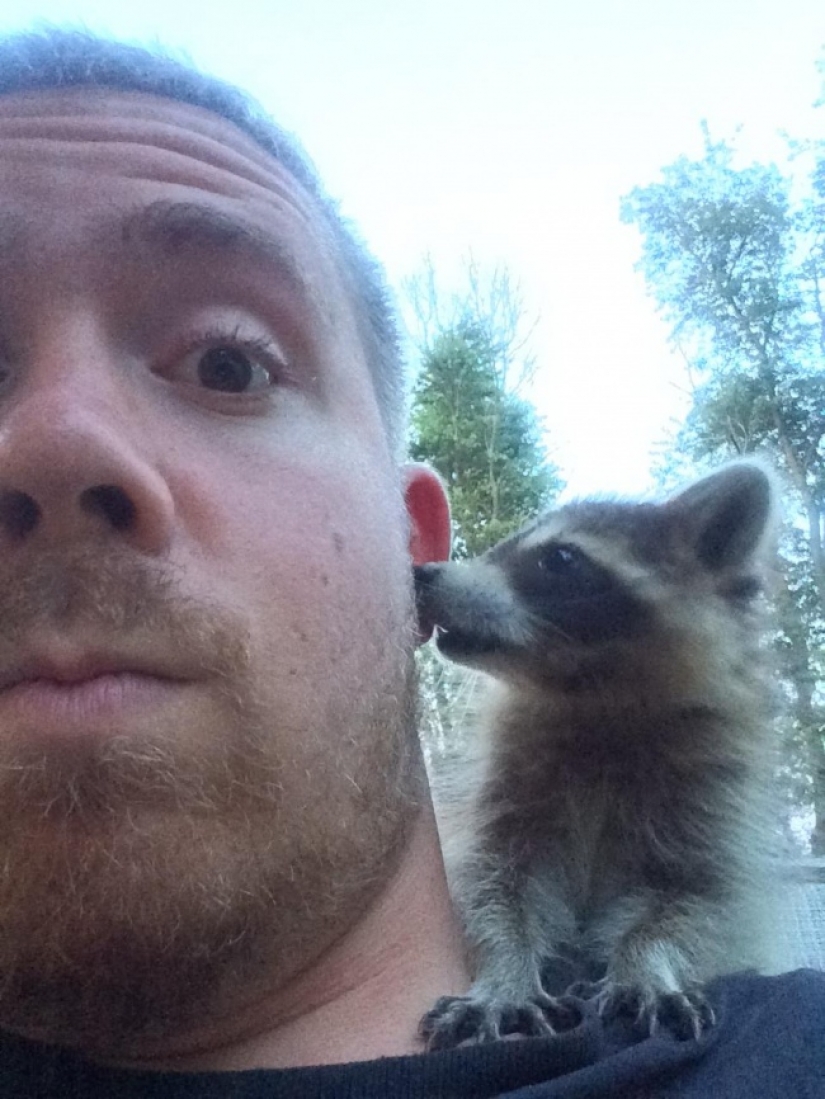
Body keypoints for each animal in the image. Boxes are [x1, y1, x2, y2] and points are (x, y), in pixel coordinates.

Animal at [415, 461, 785, 1050]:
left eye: (560, 559)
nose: (423, 575)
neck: (592, 698)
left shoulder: (712, 792)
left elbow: (697, 902)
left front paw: (646, 962)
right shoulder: (509, 783)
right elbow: (494, 886)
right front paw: (505, 970)